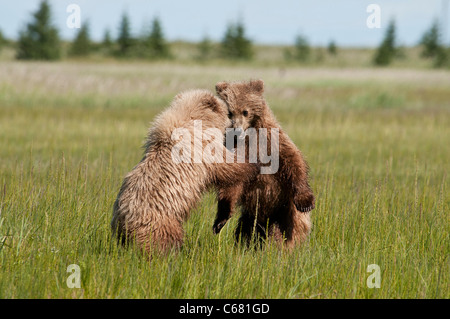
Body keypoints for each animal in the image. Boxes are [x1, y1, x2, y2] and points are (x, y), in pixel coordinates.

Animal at [111, 89, 260, 255]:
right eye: (228, 113)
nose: (233, 126)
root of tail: (124, 223)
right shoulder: (202, 147)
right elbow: (227, 166)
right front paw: (251, 162)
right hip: (160, 223)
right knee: (165, 240)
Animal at [213, 80, 314, 250]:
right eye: (230, 112)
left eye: (245, 111)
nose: (237, 131)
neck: (250, 136)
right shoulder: (236, 151)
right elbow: (232, 182)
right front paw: (220, 220)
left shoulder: (272, 140)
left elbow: (293, 161)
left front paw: (305, 201)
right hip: (251, 215)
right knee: (245, 231)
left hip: (284, 213)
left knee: (284, 234)